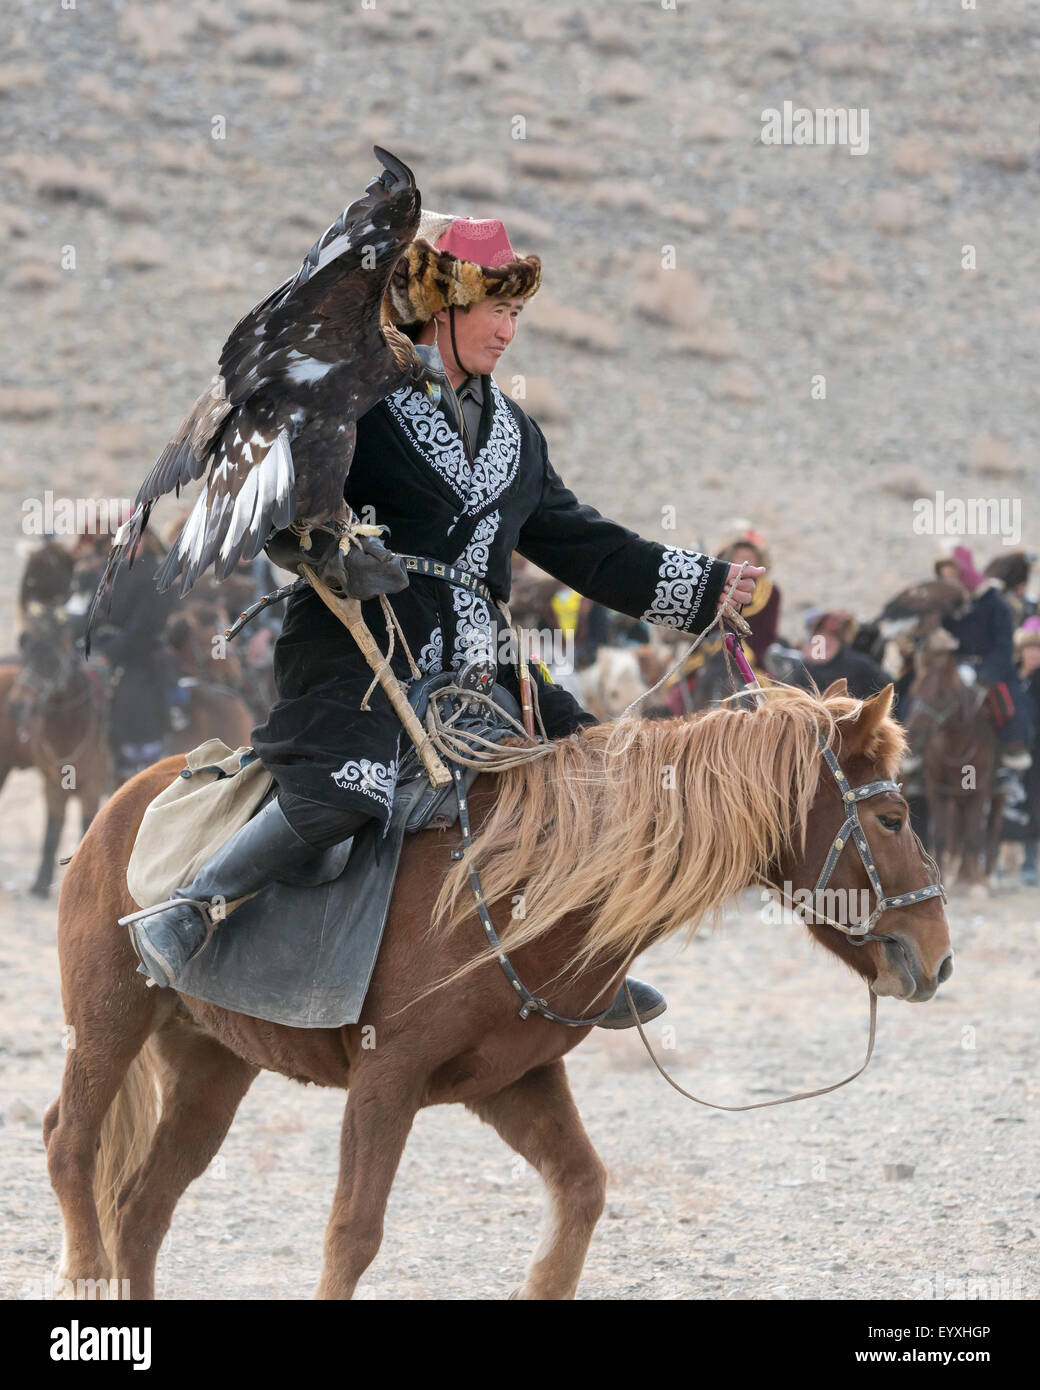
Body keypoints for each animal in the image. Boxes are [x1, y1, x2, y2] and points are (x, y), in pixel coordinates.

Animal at [5, 611, 110, 900]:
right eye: (25, 656)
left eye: (50, 661)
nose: (17, 706)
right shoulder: (51, 785)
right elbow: (52, 832)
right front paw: (40, 885)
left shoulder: (92, 787)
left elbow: (88, 827)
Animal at [46, 683, 951, 1301]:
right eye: (895, 819)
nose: (938, 957)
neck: (517, 891)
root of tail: (122, 805)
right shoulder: (386, 1081)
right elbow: (352, 1234)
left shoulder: (514, 1079)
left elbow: (582, 1191)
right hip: (108, 1022)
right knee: (70, 1145)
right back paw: (85, 1271)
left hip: (211, 1061)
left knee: (143, 1208)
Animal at [906, 639, 1001, 889]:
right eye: (915, 690)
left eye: (940, 694)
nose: (914, 735)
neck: (956, 745)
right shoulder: (937, 790)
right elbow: (940, 835)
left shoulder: (980, 791)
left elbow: (974, 835)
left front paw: (975, 884)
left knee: (990, 828)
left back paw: (984, 874)